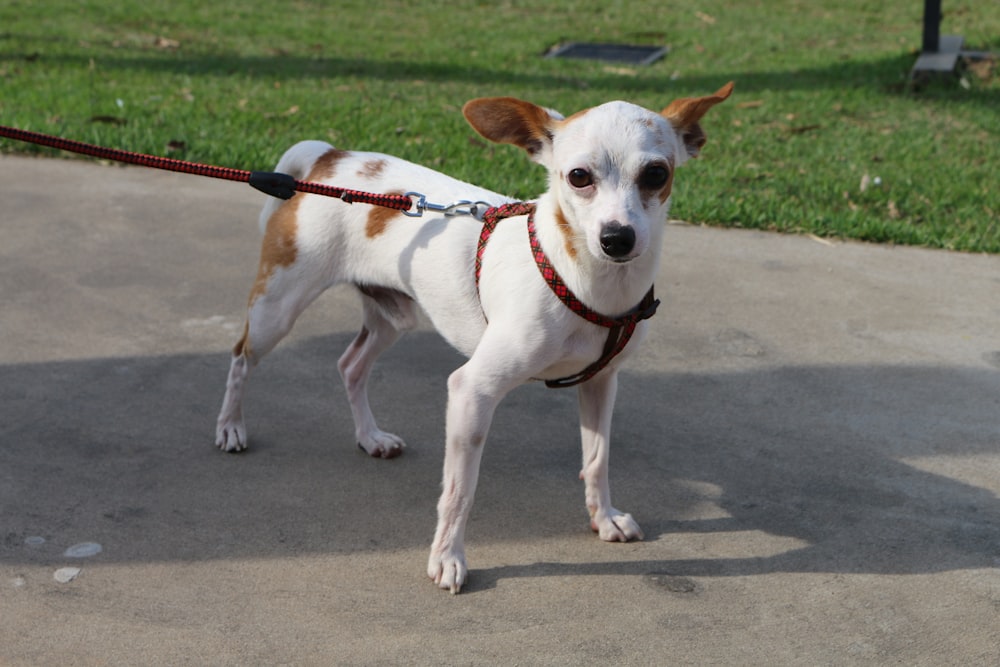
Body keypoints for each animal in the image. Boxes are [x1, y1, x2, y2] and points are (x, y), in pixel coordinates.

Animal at [217, 82, 736, 588]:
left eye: (655, 174)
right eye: (578, 177)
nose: (617, 238)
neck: (588, 280)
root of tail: (333, 156)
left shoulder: (599, 384)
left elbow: (597, 459)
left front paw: (603, 517)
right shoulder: (472, 392)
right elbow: (459, 492)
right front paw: (447, 557)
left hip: (393, 317)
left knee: (351, 365)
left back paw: (369, 436)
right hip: (277, 310)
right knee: (241, 357)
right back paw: (231, 427)